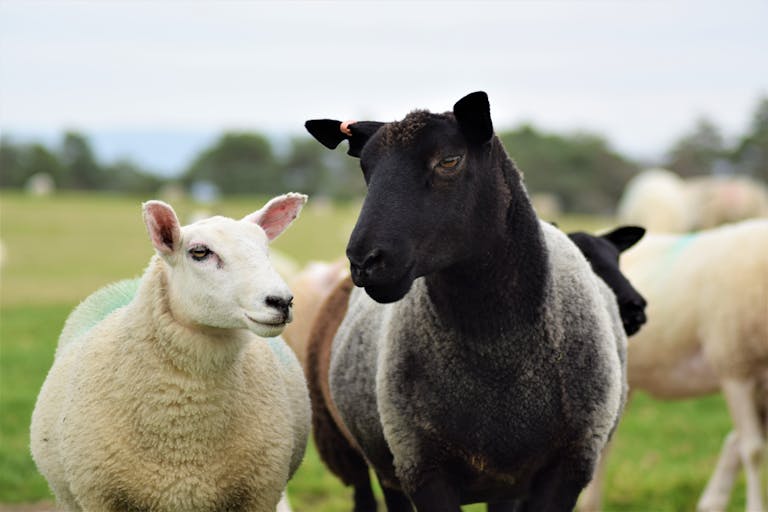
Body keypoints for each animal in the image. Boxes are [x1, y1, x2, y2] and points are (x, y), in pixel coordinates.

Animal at [303, 91, 628, 511]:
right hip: (362, 454)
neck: (498, 353)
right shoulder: (420, 465)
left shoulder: (571, 465)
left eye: (449, 161)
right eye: (365, 168)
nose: (365, 261)